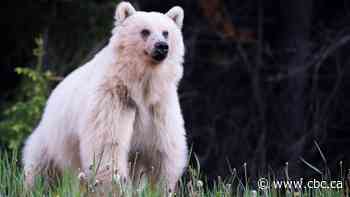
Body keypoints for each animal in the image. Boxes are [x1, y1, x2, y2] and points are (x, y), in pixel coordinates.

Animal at [22, 1, 187, 192]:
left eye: (166, 32)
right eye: (145, 31)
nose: (162, 46)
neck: (141, 85)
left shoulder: (159, 106)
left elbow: (164, 151)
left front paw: (161, 188)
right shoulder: (114, 100)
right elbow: (108, 147)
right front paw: (118, 188)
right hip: (51, 143)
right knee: (41, 171)